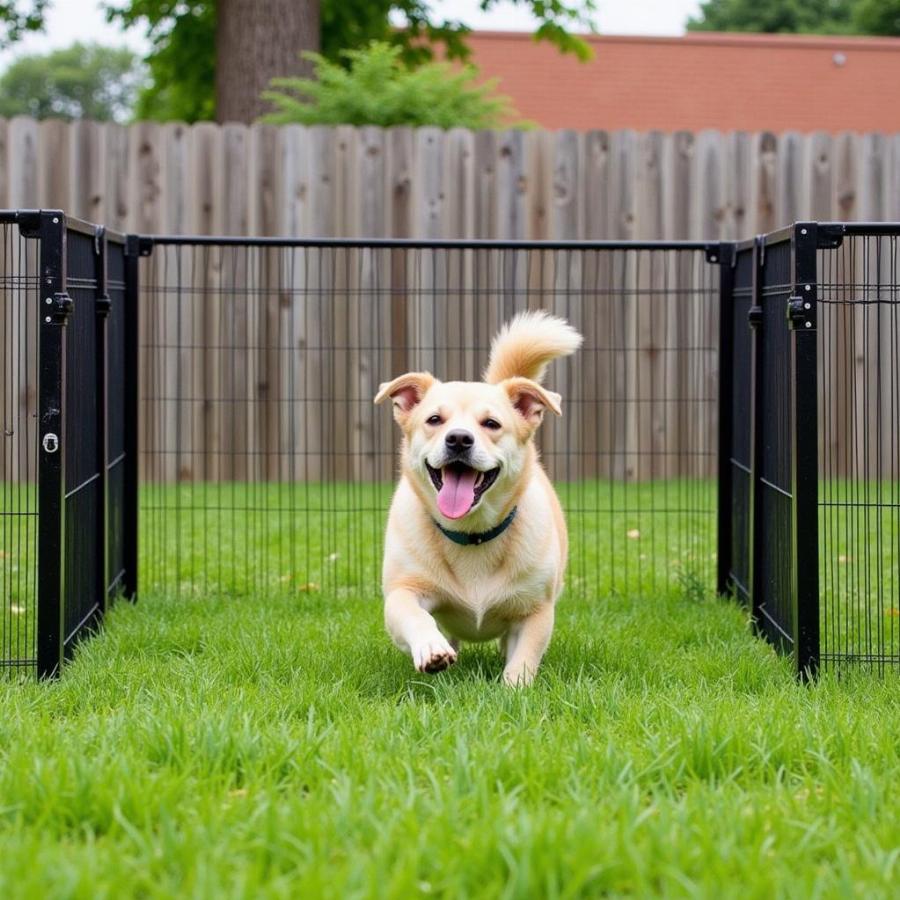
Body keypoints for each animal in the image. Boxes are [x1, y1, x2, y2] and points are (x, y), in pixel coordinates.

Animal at [374, 312, 580, 684]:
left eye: (491, 424)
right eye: (434, 419)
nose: (458, 438)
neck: (471, 534)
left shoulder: (536, 609)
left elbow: (525, 655)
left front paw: (514, 687)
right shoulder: (402, 590)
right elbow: (413, 614)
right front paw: (431, 648)